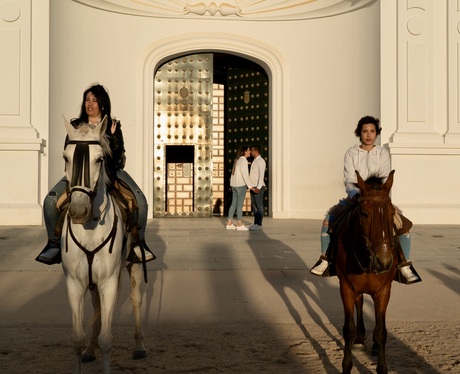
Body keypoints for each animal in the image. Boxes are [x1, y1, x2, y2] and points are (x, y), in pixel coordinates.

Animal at [60, 117, 145, 374]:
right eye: (66, 157)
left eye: (99, 159)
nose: (79, 210)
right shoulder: (74, 282)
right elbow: (77, 338)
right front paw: (85, 347)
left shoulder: (109, 281)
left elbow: (107, 340)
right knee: (96, 306)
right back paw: (90, 349)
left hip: (134, 264)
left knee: (136, 299)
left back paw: (139, 346)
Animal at [336, 170, 398, 374]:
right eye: (364, 213)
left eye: (392, 213)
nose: (384, 261)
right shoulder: (346, 287)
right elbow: (348, 329)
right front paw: (346, 366)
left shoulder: (384, 290)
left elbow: (381, 331)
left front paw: (382, 367)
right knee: (360, 302)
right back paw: (359, 338)